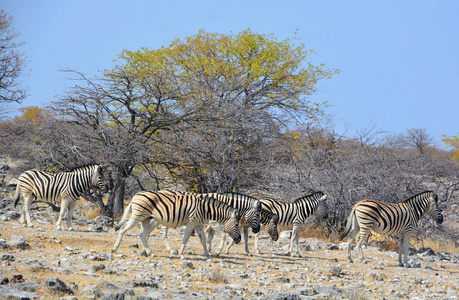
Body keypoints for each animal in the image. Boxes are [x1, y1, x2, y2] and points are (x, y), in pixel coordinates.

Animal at [111, 191, 243, 258]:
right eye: (236, 224)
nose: (239, 240)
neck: (205, 209)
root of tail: (135, 195)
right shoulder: (191, 222)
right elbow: (185, 238)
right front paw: (180, 253)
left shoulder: (199, 225)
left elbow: (203, 240)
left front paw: (208, 254)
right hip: (138, 215)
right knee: (123, 229)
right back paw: (114, 248)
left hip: (146, 218)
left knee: (142, 234)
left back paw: (150, 253)